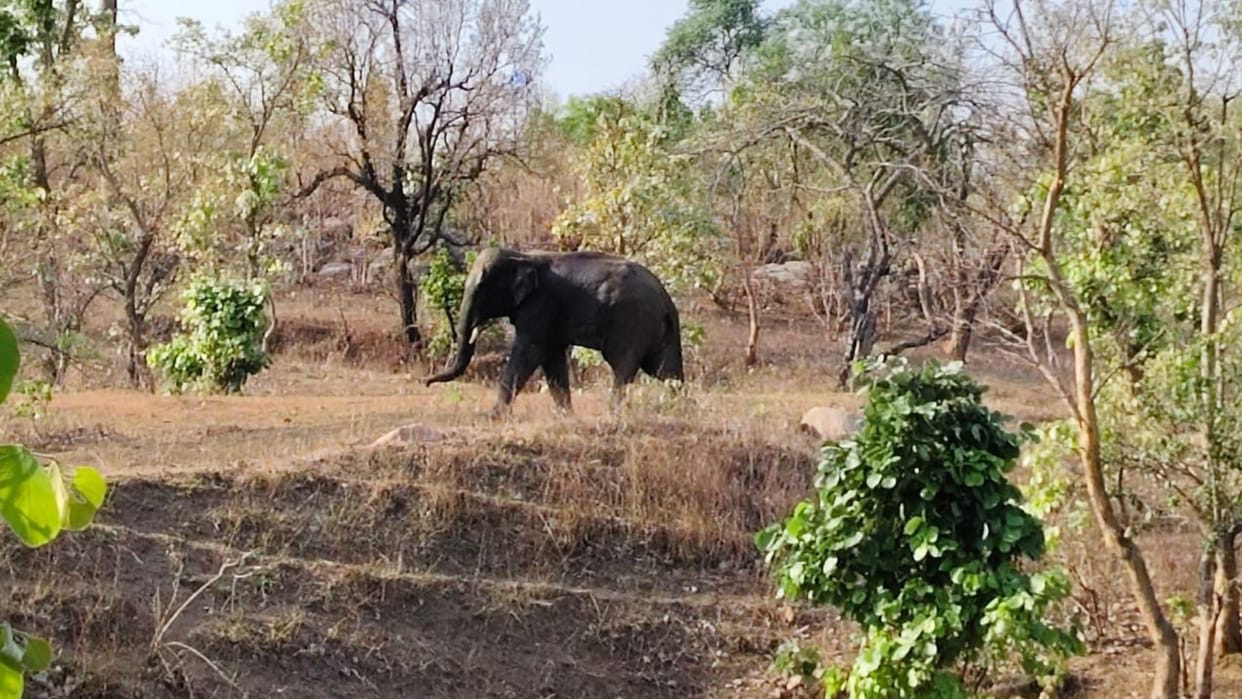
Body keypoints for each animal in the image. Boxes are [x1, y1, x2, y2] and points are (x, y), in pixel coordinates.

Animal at [424, 247, 684, 414]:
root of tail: (666, 299)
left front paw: (492, 416)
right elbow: (552, 357)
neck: (521, 255)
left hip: (631, 322)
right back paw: (678, 410)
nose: (426, 382)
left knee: (623, 367)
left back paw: (614, 414)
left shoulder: (541, 305)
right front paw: (566, 417)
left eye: (481, 287)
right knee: (665, 370)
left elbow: (529, 352)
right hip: (658, 329)